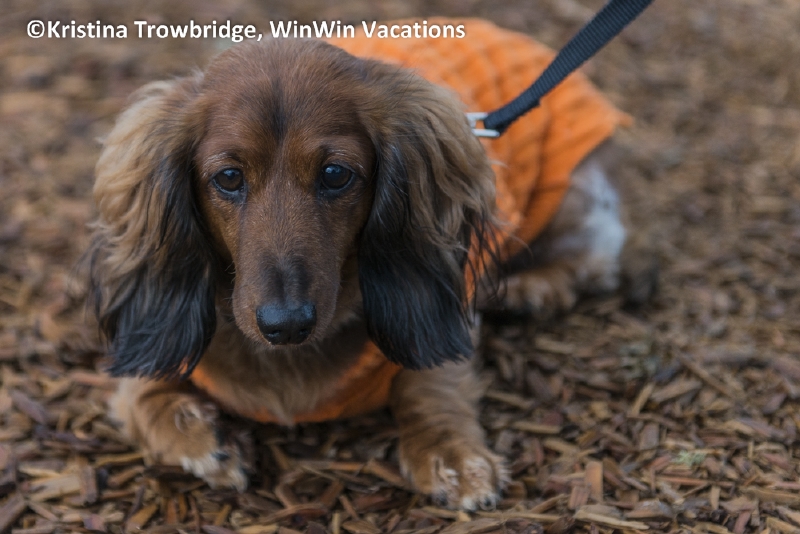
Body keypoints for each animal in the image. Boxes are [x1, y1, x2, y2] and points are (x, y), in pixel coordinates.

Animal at [88, 19, 654, 509]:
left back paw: (528, 289)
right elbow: (146, 397)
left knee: (594, 260)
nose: (285, 325)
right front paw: (206, 438)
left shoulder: (443, 309)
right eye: (228, 177)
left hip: (576, 192)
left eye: (336, 174)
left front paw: (451, 453)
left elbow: (431, 381)